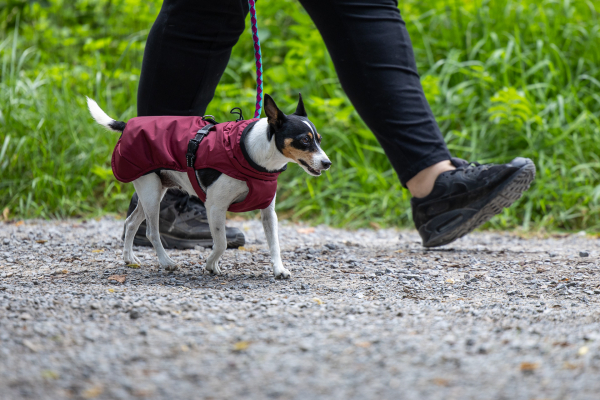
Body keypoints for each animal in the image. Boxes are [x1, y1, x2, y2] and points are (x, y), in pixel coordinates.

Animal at [86, 94, 330, 280]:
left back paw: (129, 258)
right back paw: (166, 262)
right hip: (151, 193)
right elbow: (221, 243)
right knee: (152, 232)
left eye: (319, 139)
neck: (254, 154)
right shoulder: (215, 207)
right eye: (305, 140)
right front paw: (211, 265)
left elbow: (274, 244)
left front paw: (279, 270)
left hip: (153, 192)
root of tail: (127, 125)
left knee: (130, 223)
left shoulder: (268, 212)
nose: (327, 163)